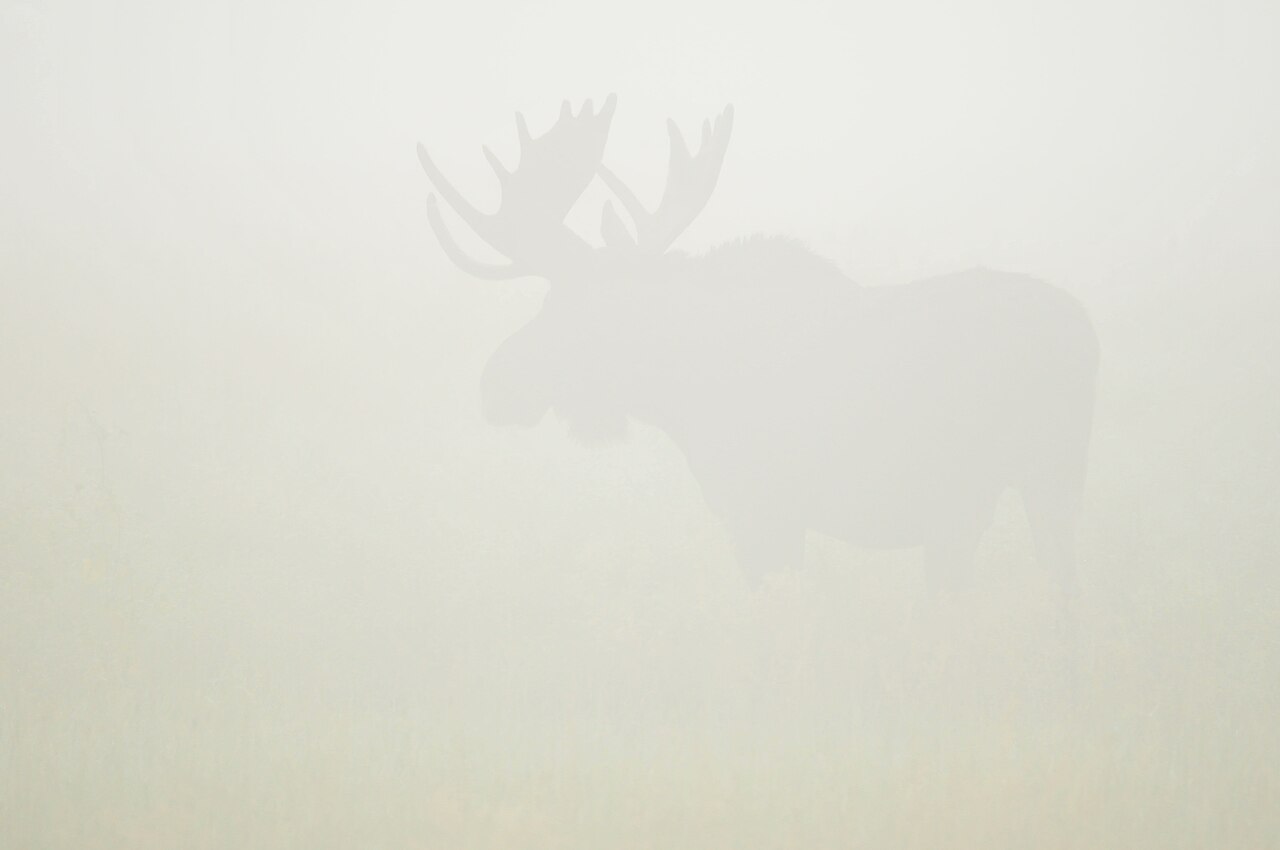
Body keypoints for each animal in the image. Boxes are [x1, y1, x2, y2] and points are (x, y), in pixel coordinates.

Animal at [415, 95, 1100, 616]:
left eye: (566, 304)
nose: (496, 382)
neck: (676, 390)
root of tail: (1089, 336)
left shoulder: (760, 511)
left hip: (1016, 483)